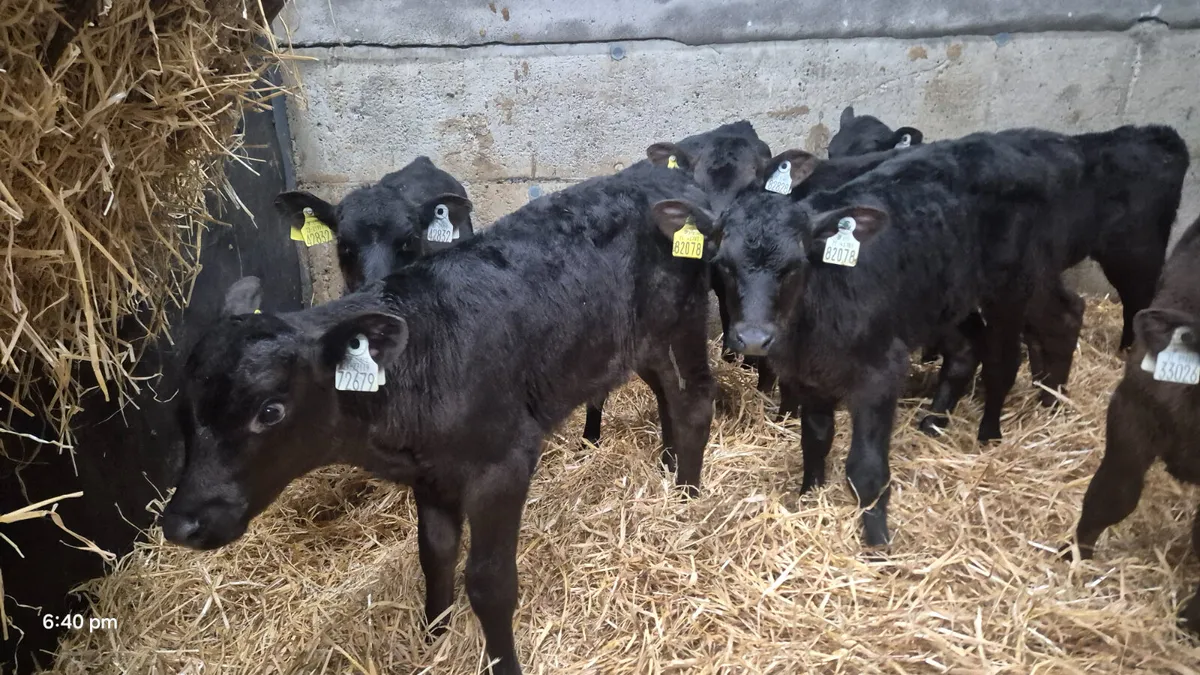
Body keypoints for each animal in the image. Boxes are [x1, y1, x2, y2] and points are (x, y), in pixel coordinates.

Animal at [160, 161, 717, 675]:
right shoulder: (430, 474)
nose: (181, 523)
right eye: (180, 411)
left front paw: (501, 662)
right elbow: (434, 554)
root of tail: (665, 178)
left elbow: (490, 582)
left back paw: (687, 499)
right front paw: (433, 636)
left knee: (694, 402)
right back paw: (670, 471)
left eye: (270, 411)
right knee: (665, 392)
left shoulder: (503, 464)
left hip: (683, 319)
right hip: (635, 339)